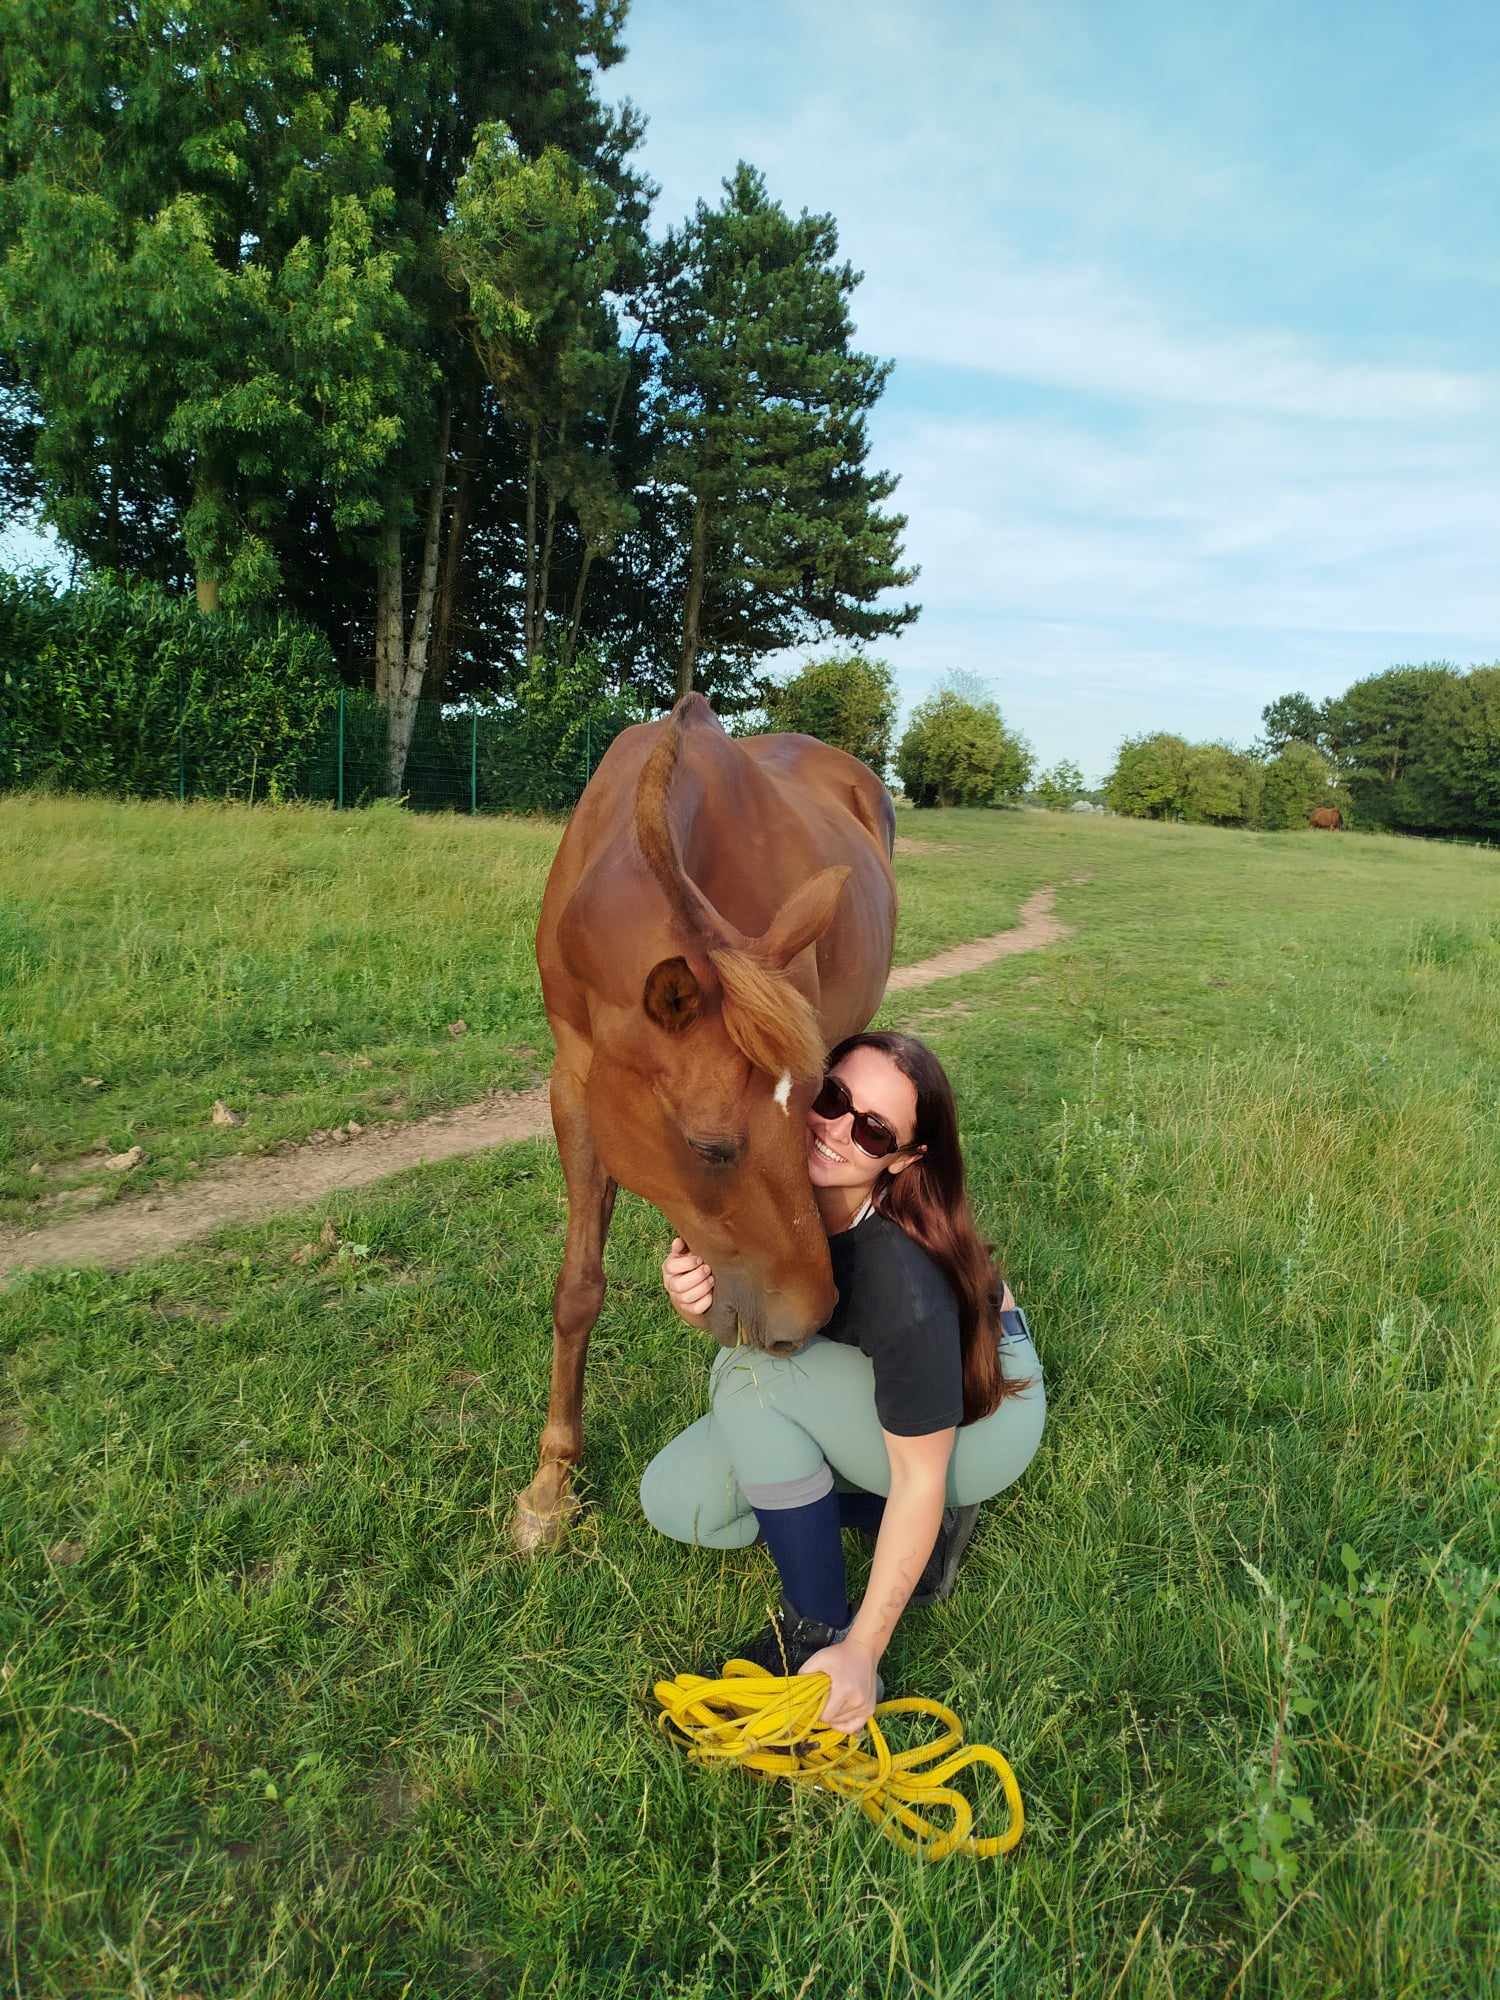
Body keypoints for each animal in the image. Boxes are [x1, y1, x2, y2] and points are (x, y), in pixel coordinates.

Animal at [513, 693, 897, 1553]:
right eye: (708, 1145)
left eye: (819, 1109)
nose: (806, 1321)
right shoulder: (574, 1084)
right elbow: (578, 1288)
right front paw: (551, 1488)